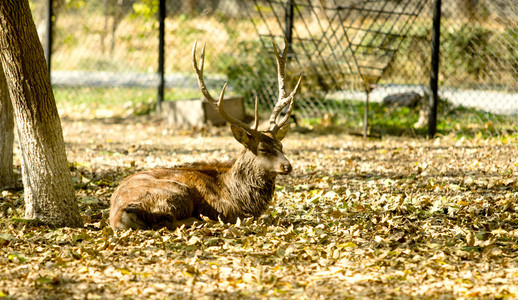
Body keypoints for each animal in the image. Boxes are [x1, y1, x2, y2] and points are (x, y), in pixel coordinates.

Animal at [110, 39, 304, 231]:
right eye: (263, 149)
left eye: (281, 146)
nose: (287, 166)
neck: (237, 194)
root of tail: (119, 216)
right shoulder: (226, 210)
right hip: (176, 192)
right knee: (167, 220)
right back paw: (200, 221)